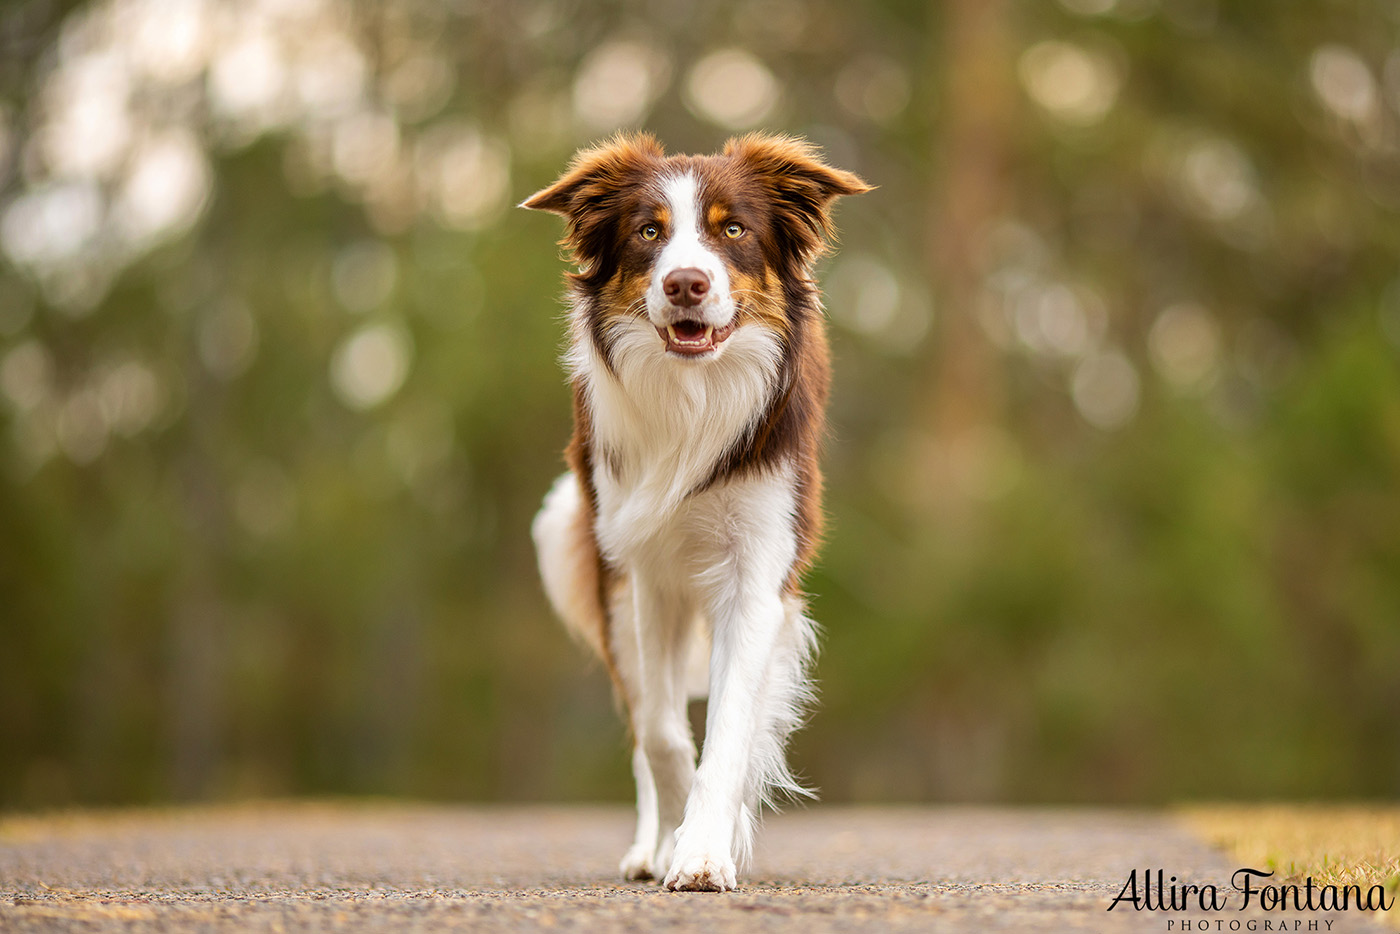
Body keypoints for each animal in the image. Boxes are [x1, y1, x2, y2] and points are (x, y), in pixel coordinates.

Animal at [526, 131, 868, 890]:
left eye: (732, 230)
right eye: (648, 232)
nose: (686, 283)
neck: (694, 395)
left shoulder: (758, 567)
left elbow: (730, 724)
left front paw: (707, 848)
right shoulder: (641, 570)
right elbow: (659, 733)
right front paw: (678, 839)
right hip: (583, 548)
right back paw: (648, 846)